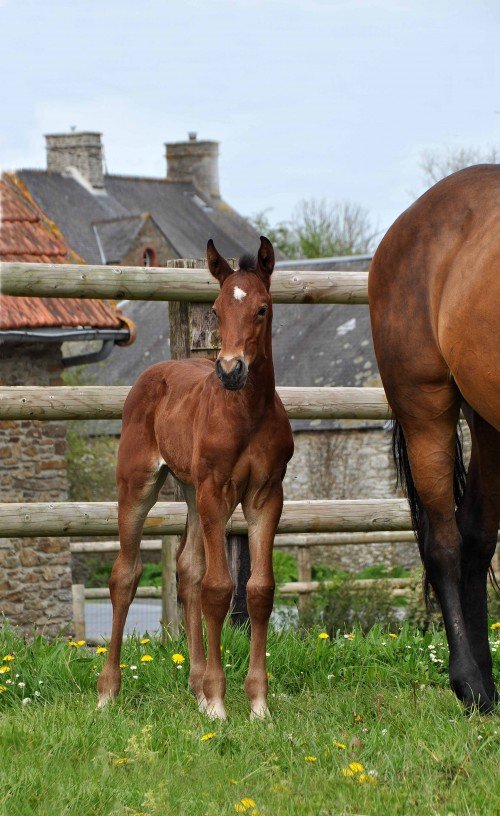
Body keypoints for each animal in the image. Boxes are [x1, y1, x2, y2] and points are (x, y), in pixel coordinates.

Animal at [97, 236, 294, 720]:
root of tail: (154, 372)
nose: (230, 370)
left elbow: (258, 590)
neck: (247, 413)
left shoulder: (266, 496)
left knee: (186, 570)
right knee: (125, 575)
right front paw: (220, 703)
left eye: (262, 308)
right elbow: (219, 588)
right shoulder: (215, 492)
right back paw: (108, 692)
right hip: (139, 484)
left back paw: (196, 686)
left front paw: (256, 704)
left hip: (189, 491)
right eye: (217, 310)